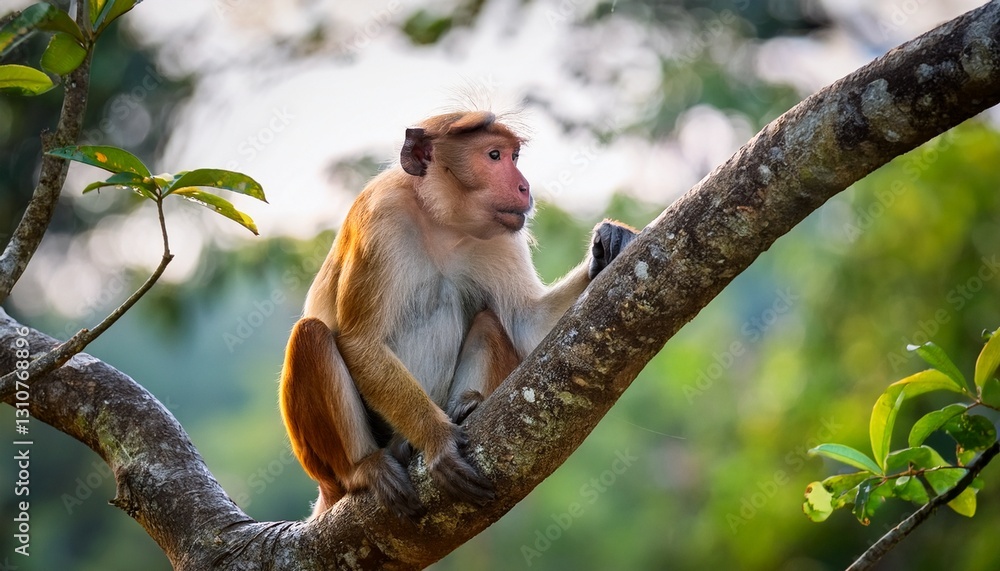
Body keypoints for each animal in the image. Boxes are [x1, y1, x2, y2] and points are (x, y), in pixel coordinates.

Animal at [279, 110, 637, 520]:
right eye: (494, 155)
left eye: (513, 156)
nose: (524, 187)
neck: (439, 222)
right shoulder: (380, 218)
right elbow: (359, 341)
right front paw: (438, 441)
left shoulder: (500, 236)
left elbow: (529, 323)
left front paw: (609, 245)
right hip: (325, 464)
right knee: (311, 335)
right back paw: (363, 468)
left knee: (489, 319)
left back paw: (466, 406)